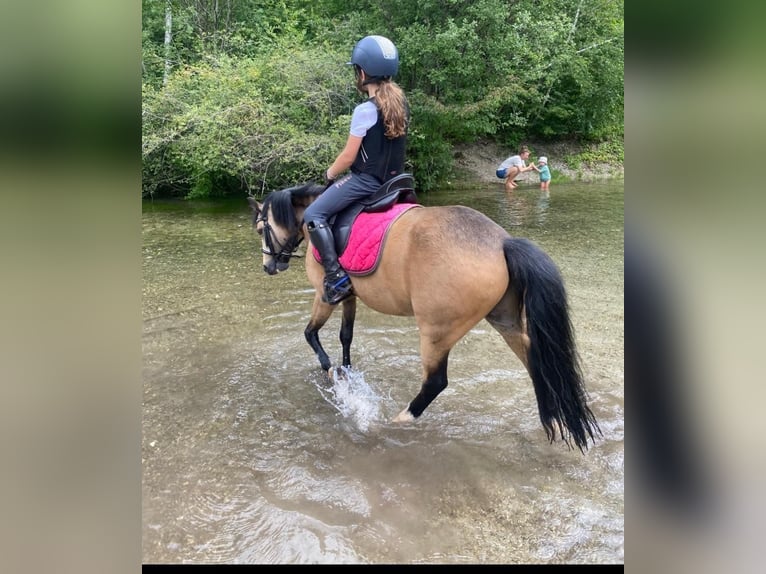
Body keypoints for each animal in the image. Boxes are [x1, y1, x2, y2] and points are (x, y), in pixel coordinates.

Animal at [248, 181, 601, 452]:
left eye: (261, 228)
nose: (268, 266)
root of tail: (503, 241)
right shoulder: (349, 297)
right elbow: (346, 336)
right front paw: (346, 371)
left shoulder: (324, 297)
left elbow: (311, 334)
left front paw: (330, 371)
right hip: (505, 321)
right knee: (537, 364)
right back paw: (553, 419)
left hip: (436, 331)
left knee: (435, 382)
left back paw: (396, 421)